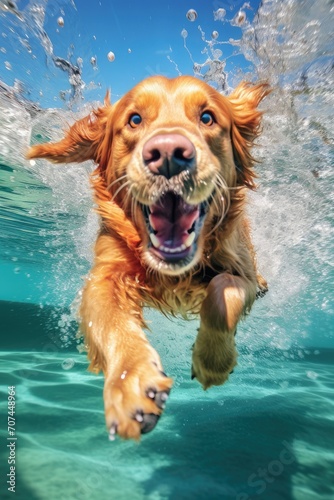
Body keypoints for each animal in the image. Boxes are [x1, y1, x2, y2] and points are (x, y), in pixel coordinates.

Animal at [27, 76, 270, 440]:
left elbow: (221, 293)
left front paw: (212, 361)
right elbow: (110, 323)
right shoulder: (105, 275)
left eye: (207, 117)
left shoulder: (241, 272)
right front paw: (131, 383)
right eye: (135, 120)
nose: (169, 154)